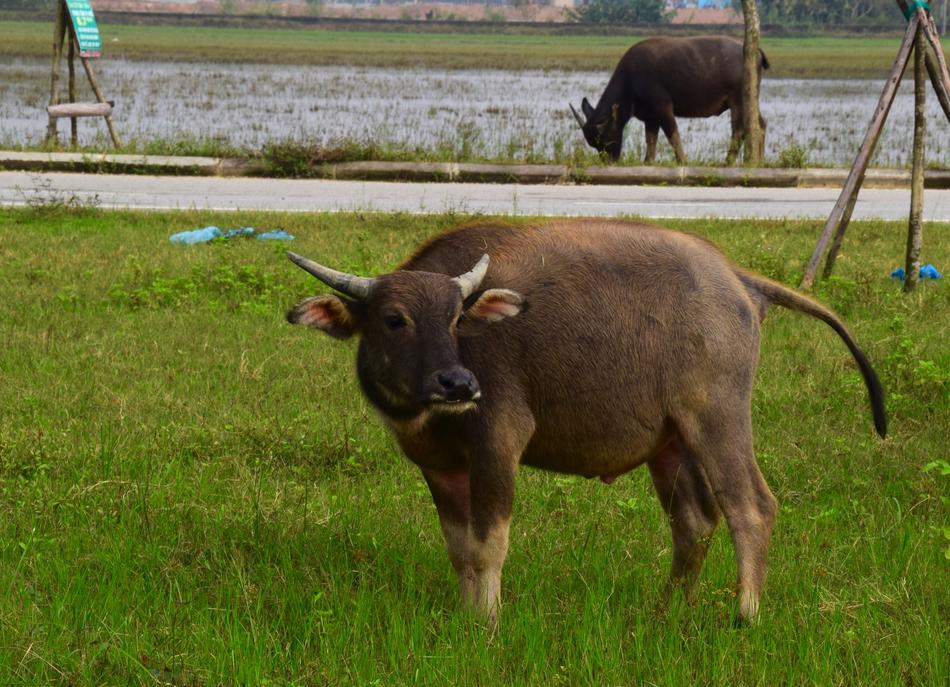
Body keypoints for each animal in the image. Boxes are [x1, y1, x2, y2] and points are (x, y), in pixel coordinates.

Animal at [285, 219, 885, 626]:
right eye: (394, 319)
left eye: (455, 319)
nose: (458, 383)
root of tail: (738, 279)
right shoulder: (439, 468)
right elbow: (459, 549)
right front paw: (465, 615)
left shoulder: (499, 444)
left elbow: (488, 544)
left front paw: (487, 624)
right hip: (672, 441)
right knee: (694, 520)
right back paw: (669, 610)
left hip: (718, 415)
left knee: (752, 508)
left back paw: (744, 615)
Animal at [570, 36, 770, 164]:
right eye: (594, 145)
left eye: (605, 137)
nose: (609, 160)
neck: (632, 80)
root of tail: (754, 52)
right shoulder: (650, 118)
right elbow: (650, 140)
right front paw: (648, 162)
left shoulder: (663, 108)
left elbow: (672, 135)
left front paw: (682, 161)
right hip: (750, 100)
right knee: (759, 124)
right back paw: (758, 161)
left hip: (738, 101)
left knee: (739, 130)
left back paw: (728, 161)